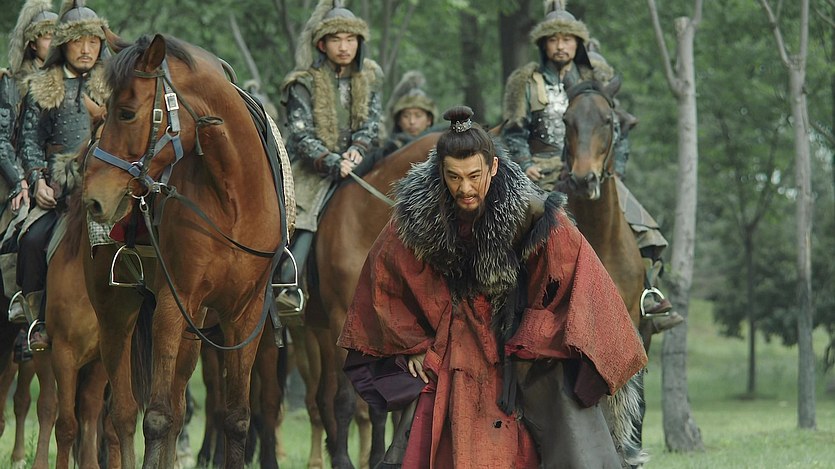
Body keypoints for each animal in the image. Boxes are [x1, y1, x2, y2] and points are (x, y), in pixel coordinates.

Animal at [81, 31, 288, 469]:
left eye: (127, 113)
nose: (95, 199)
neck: (233, 199)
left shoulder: (244, 316)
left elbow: (235, 418)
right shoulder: (173, 306)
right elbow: (157, 417)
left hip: (196, 328)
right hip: (116, 314)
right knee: (123, 413)